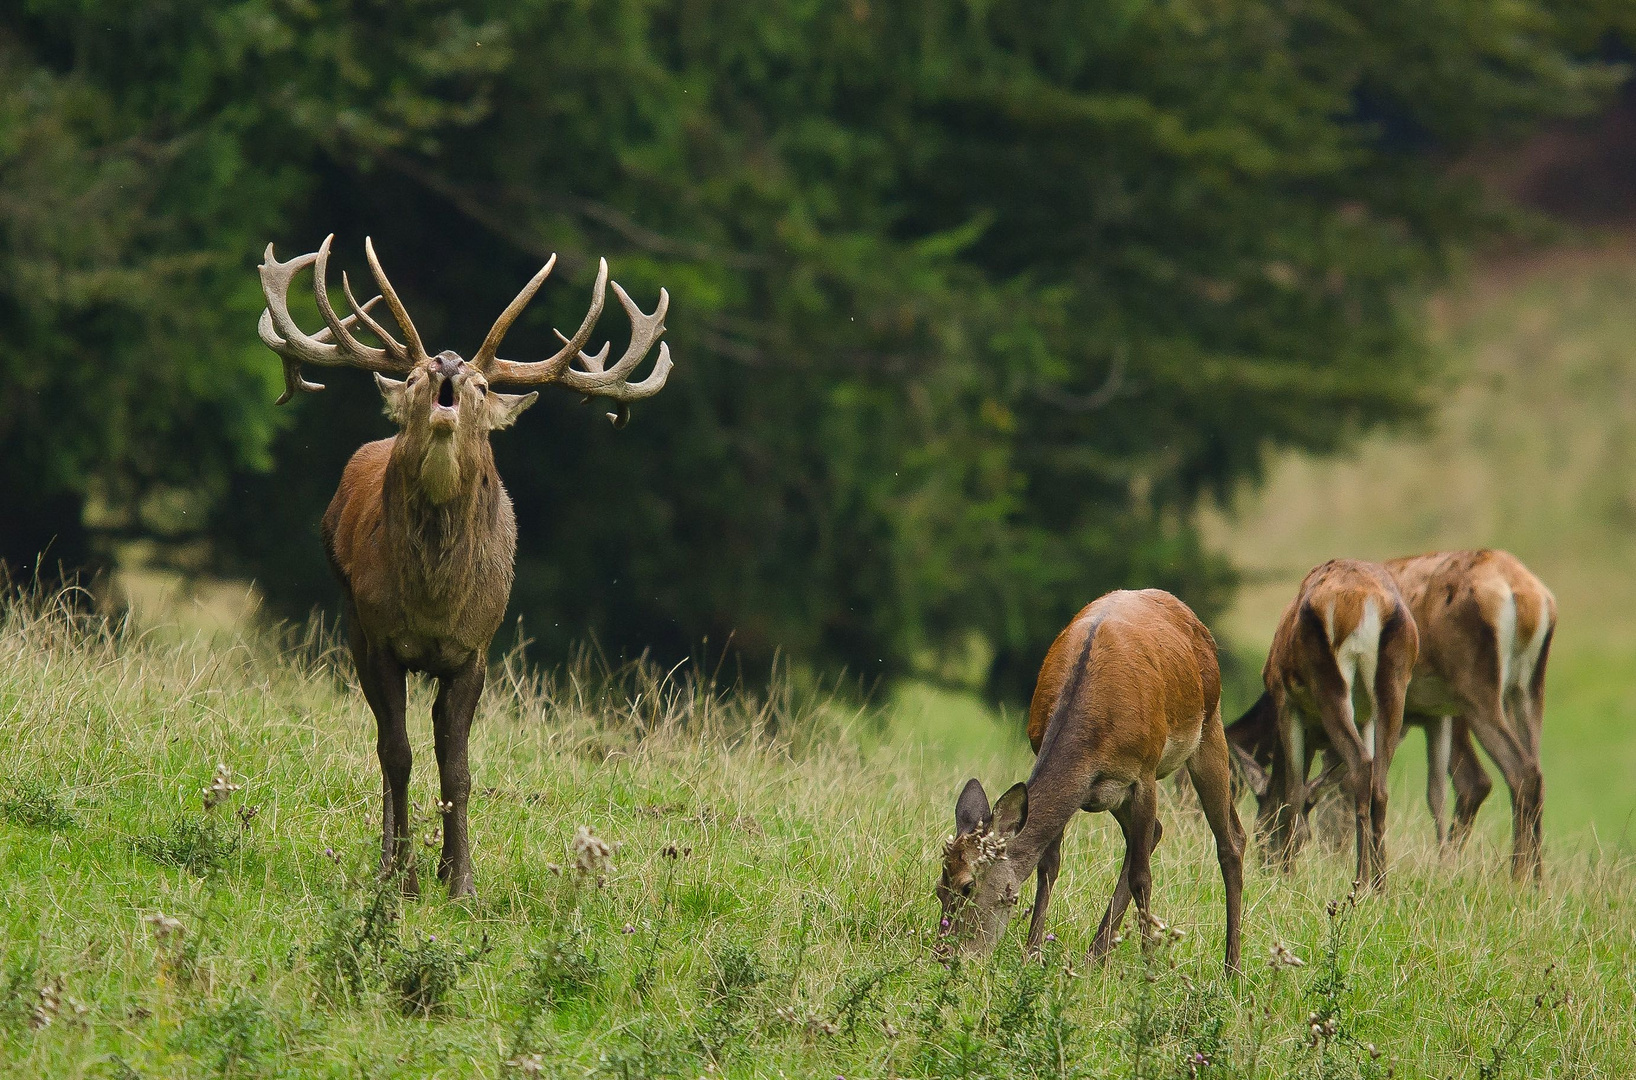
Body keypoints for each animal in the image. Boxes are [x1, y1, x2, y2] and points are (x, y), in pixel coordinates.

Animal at [258, 234, 667, 896]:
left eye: (479, 387)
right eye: (416, 377)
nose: (448, 364)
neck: (434, 603)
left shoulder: (475, 647)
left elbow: (458, 768)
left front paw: (462, 881)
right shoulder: (380, 638)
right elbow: (396, 753)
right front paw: (400, 876)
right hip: (351, 623)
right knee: (385, 741)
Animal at [942, 589, 1243, 981]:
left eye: (967, 885)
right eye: (940, 886)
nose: (947, 956)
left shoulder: (1144, 773)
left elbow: (1143, 876)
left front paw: (1150, 967)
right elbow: (1048, 864)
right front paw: (1032, 953)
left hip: (1209, 725)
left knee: (1231, 841)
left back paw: (1232, 968)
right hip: (1109, 794)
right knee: (1155, 832)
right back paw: (1094, 955)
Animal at [1230, 559, 1420, 890]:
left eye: (1260, 832)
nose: (1266, 868)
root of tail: (1372, 602)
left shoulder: (1286, 702)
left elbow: (1294, 791)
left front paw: (1288, 874)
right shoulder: (1364, 717)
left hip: (1329, 680)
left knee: (1361, 765)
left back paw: (1360, 881)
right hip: (1395, 684)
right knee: (1379, 783)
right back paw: (1380, 884)